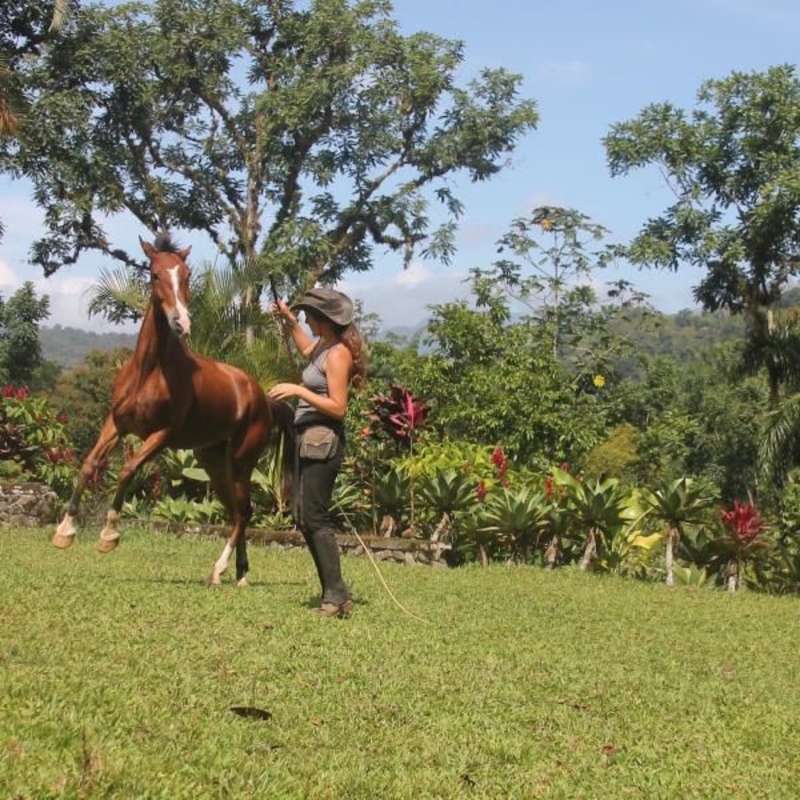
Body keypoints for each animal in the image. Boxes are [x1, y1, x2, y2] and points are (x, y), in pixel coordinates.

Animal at [52, 233, 294, 587]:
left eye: (187, 275)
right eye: (154, 274)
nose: (182, 322)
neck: (149, 371)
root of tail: (263, 399)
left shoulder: (162, 435)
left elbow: (127, 470)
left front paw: (109, 536)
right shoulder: (116, 424)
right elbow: (88, 465)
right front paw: (64, 532)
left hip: (241, 461)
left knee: (244, 512)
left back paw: (221, 570)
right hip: (213, 462)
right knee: (238, 511)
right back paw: (238, 573)